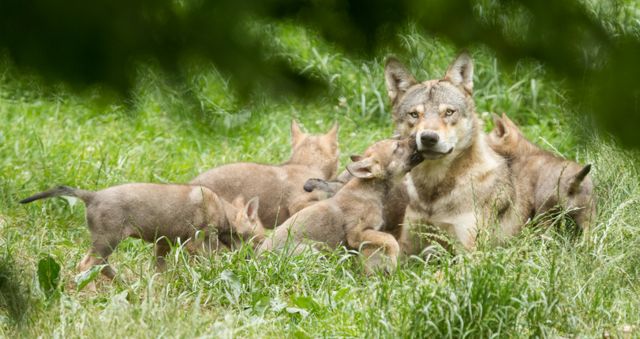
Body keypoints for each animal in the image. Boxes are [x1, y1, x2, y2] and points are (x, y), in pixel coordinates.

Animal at [384, 53, 520, 255]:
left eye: (448, 112)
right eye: (414, 114)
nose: (428, 138)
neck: (432, 194)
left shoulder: (469, 253)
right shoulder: (407, 245)